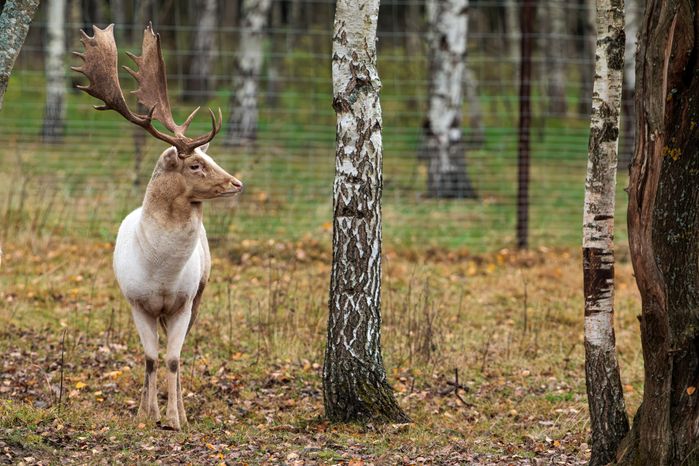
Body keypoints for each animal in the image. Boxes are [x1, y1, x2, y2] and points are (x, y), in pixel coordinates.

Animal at [72, 24, 243, 430]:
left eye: (211, 158)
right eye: (195, 164)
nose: (237, 183)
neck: (160, 272)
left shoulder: (184, 301)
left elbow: (174, 359)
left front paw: (175, 419)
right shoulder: (136, 301)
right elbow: (150, 358)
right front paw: (144, 415)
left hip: (201, 293)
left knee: (179, 354)